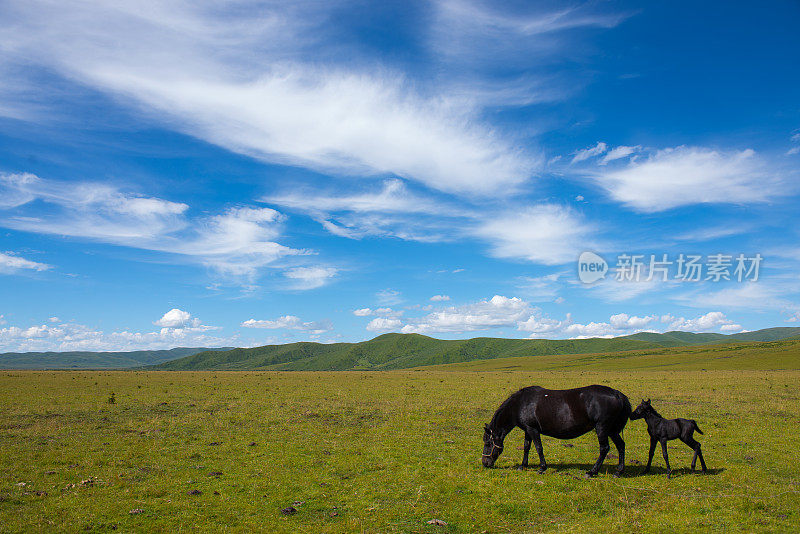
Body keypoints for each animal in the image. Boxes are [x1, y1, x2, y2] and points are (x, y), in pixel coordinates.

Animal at [482, 388, 632, 480]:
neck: (520, 404)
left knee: (604, 448)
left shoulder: (533, 429)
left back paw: (592, 472)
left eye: (488, 443)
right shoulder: (527, 430)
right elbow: (526, 447)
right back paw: (619, 472)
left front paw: (542, 468)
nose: (485, 463)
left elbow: (538, 448)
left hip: (602, 428)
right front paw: (523, 466)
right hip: (612, 430)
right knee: (621, 446)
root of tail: (617, 394)